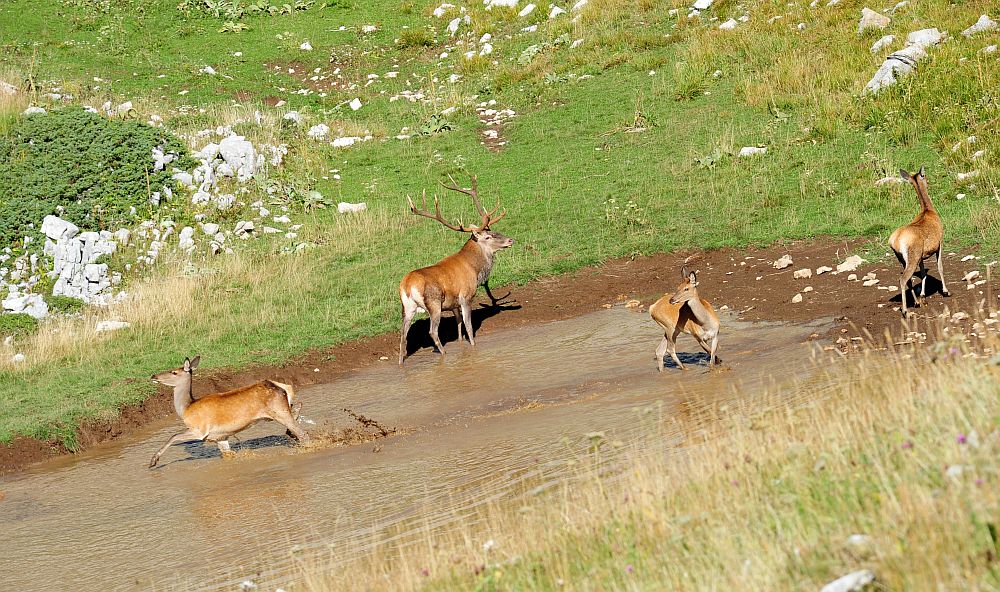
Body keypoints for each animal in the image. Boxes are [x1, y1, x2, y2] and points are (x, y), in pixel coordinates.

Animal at [146, 356, 306, 468]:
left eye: (174, 372)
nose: (153, 376)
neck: (186, 407)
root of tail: (283, 387)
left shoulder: (200, 430)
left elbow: (174, 436)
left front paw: (153, 461)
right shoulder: (220, 437)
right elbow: (228, 455)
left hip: (279, 410)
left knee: (303, 433)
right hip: (284, 407)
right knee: (298, 406)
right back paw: (291, 434)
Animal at [396, 173, 512, 364]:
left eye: (494, 231)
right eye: (488, 236)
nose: (510, 240)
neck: (475, 269)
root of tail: (407, 285)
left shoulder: (453, 303)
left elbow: (458, 323)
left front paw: (460, 342)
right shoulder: (465, 296)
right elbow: (469, 326)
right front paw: (473, 347)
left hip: (407, 308)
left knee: (402, 335)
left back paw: (401, 363)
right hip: (434, 303)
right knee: (432, 331)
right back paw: (443, 353)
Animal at [892, 164, 952, 316]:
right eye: (925, 176)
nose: (929, 183)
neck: (928, 210)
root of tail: (895, 242)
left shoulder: (922, 256)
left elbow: (924, 273)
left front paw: (923, 295)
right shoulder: (940, 243)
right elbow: (940, 266)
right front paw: (946, 291)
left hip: (904, 259)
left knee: (908, 279)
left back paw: (917, 302)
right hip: (913, 256)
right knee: (903, 279)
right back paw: (905, 310)